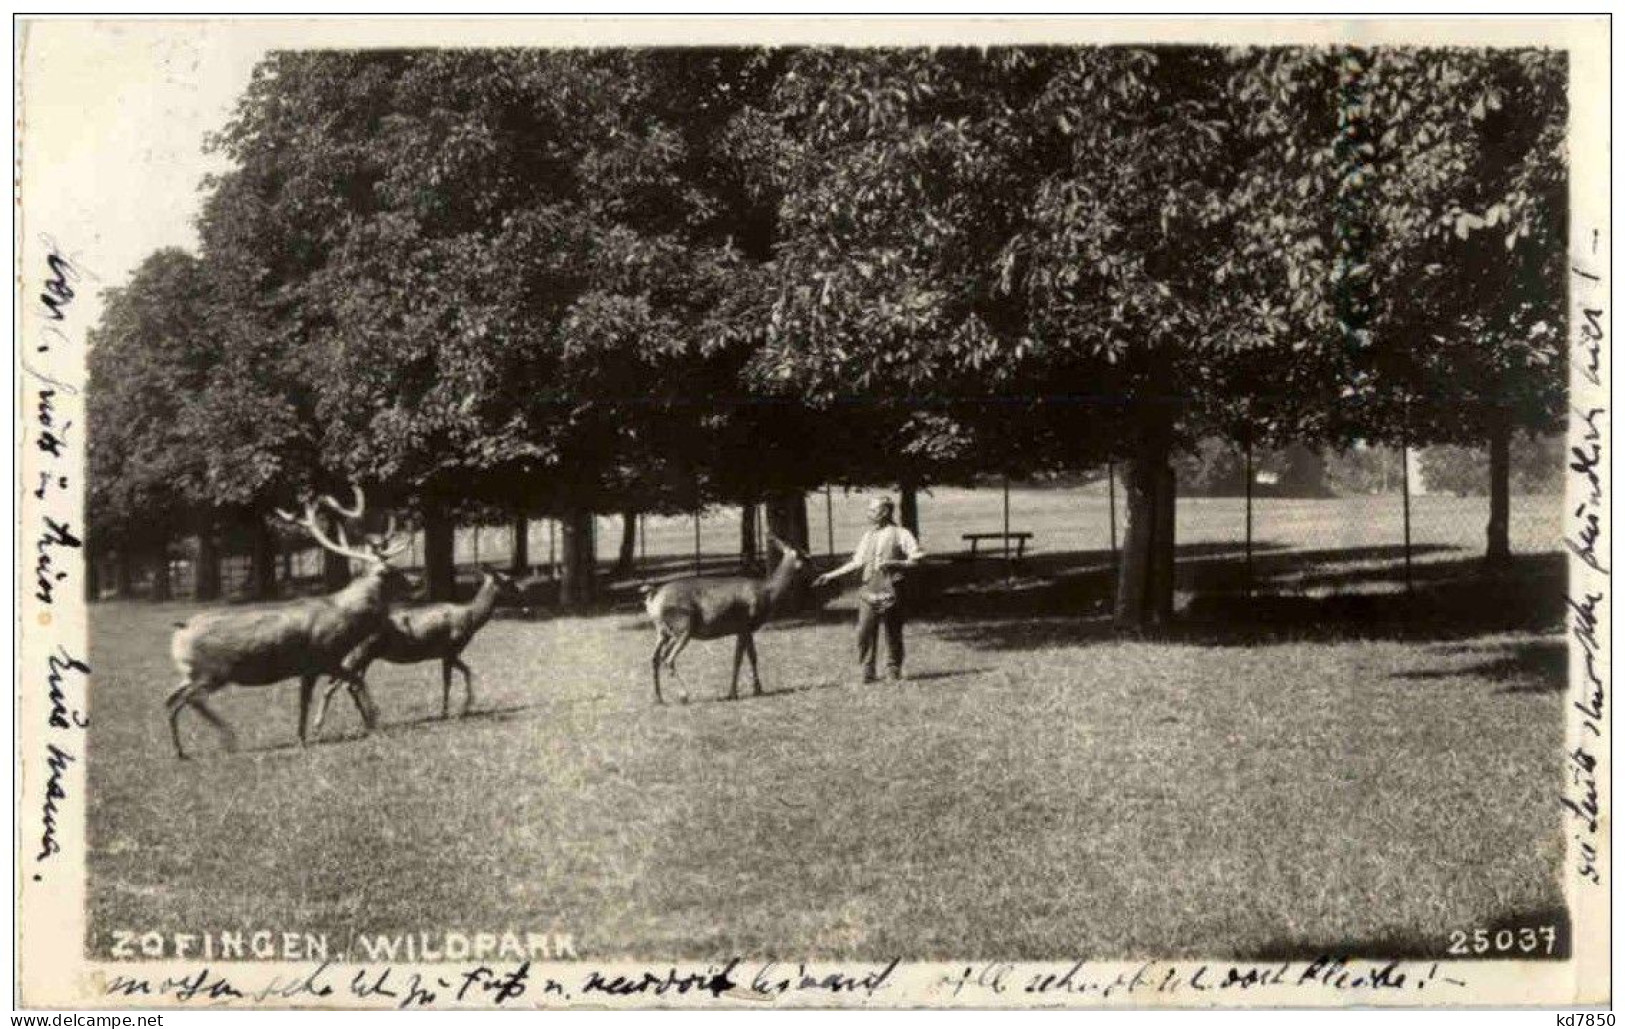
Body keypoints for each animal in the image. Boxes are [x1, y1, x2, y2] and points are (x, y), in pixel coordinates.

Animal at [163, 484, 412, 757]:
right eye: (394, 572)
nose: (415, 583)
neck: (345, 618)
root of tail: (180, 630)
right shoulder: (323, 657)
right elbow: (355, 681)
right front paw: (374, 721)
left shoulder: (308, 668)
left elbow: (305, 701)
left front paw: (302, 738)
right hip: (214, 671)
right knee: (190, 699)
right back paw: (228, 739)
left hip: (191, 672)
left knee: (169, 699)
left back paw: (181, 751)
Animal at [307, 568, 523, 738]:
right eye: (509, 581)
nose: (522, 592)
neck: (470, 618)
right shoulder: (451, 649)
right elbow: (457, 677)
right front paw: (456, 709)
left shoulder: (446, 654)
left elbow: (453, 677)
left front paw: (450, 710)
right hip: (361, 653)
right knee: (336, 685)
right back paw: (319, 726)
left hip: (364, 656)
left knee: (350, 684)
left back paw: (368, 721)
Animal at [637, 533, 809, 702]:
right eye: (805, 555)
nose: (813, 569)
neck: (767, 593)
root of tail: (652, 597)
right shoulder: (745, 624)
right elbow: (742, 658)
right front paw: (738, 692)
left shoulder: (743, 629)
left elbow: (748, 657)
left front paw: (753, 690)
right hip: (682, 626)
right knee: (668, 658)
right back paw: (684, 695)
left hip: (662, 631)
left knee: (654, 658)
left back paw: (658, 698)